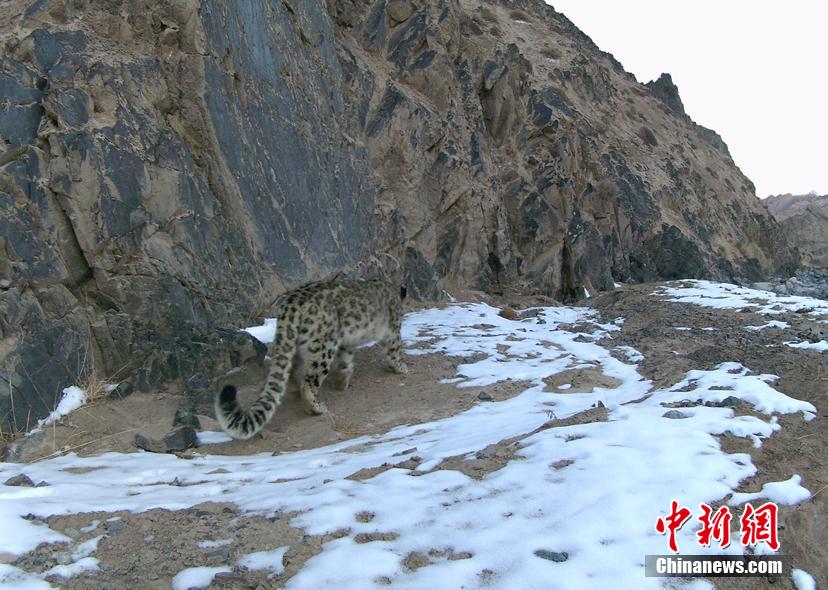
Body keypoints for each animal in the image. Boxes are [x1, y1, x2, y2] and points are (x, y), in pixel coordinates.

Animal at [215, 278, 408, 440]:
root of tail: (290, 303)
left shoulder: (347, 343)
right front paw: (400, 367)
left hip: (294, 344)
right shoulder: (392, 330)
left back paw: (295, 387)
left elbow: (345, 362)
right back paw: (316, 408)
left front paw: (341, 383)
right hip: (324, 347)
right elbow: (395, 349)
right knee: (308, 383)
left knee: (290, 371)